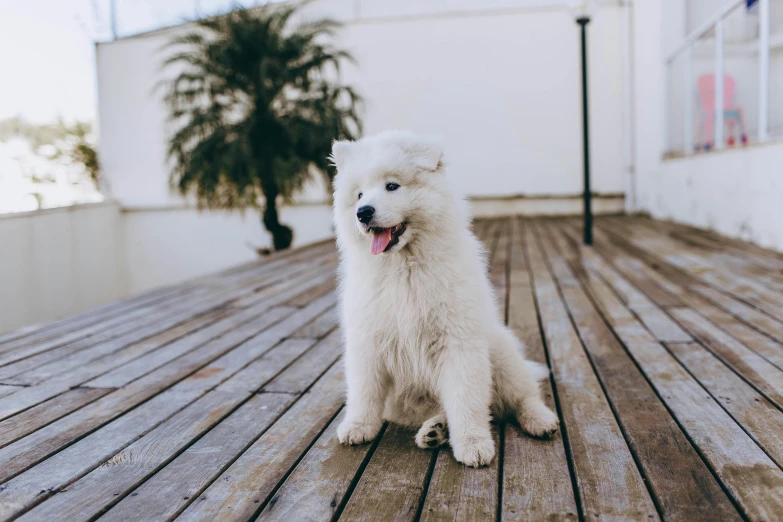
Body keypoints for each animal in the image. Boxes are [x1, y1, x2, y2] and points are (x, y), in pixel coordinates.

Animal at [330, 132, 556, 466]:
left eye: (392, 186)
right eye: (358, 195)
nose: (363, 212)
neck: (404, 268)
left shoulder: (458, 342)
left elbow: (466, 399)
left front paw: (473, 444)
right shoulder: (367, 341)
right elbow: (363, 391)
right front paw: (358, 427)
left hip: (502, 354)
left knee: (521, 397)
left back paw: (541, 421)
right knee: (442, 409)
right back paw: (434, 431)